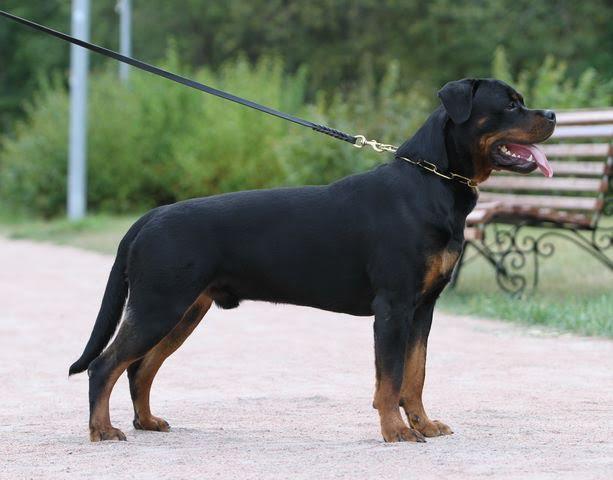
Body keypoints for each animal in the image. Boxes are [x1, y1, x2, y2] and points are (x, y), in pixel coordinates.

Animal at [69, 78, 555, 442]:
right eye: (510, 104)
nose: (551, 114)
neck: (431, 182)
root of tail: (148, 218)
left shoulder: (423, 308)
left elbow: (414, 376)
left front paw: (424, 424)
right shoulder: (393, 306)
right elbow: (390, 380)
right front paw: (396, 431)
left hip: (184, 310)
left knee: (140, 368)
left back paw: (146, 421)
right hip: (159, 305)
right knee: (105, 365)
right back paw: (103, 430)